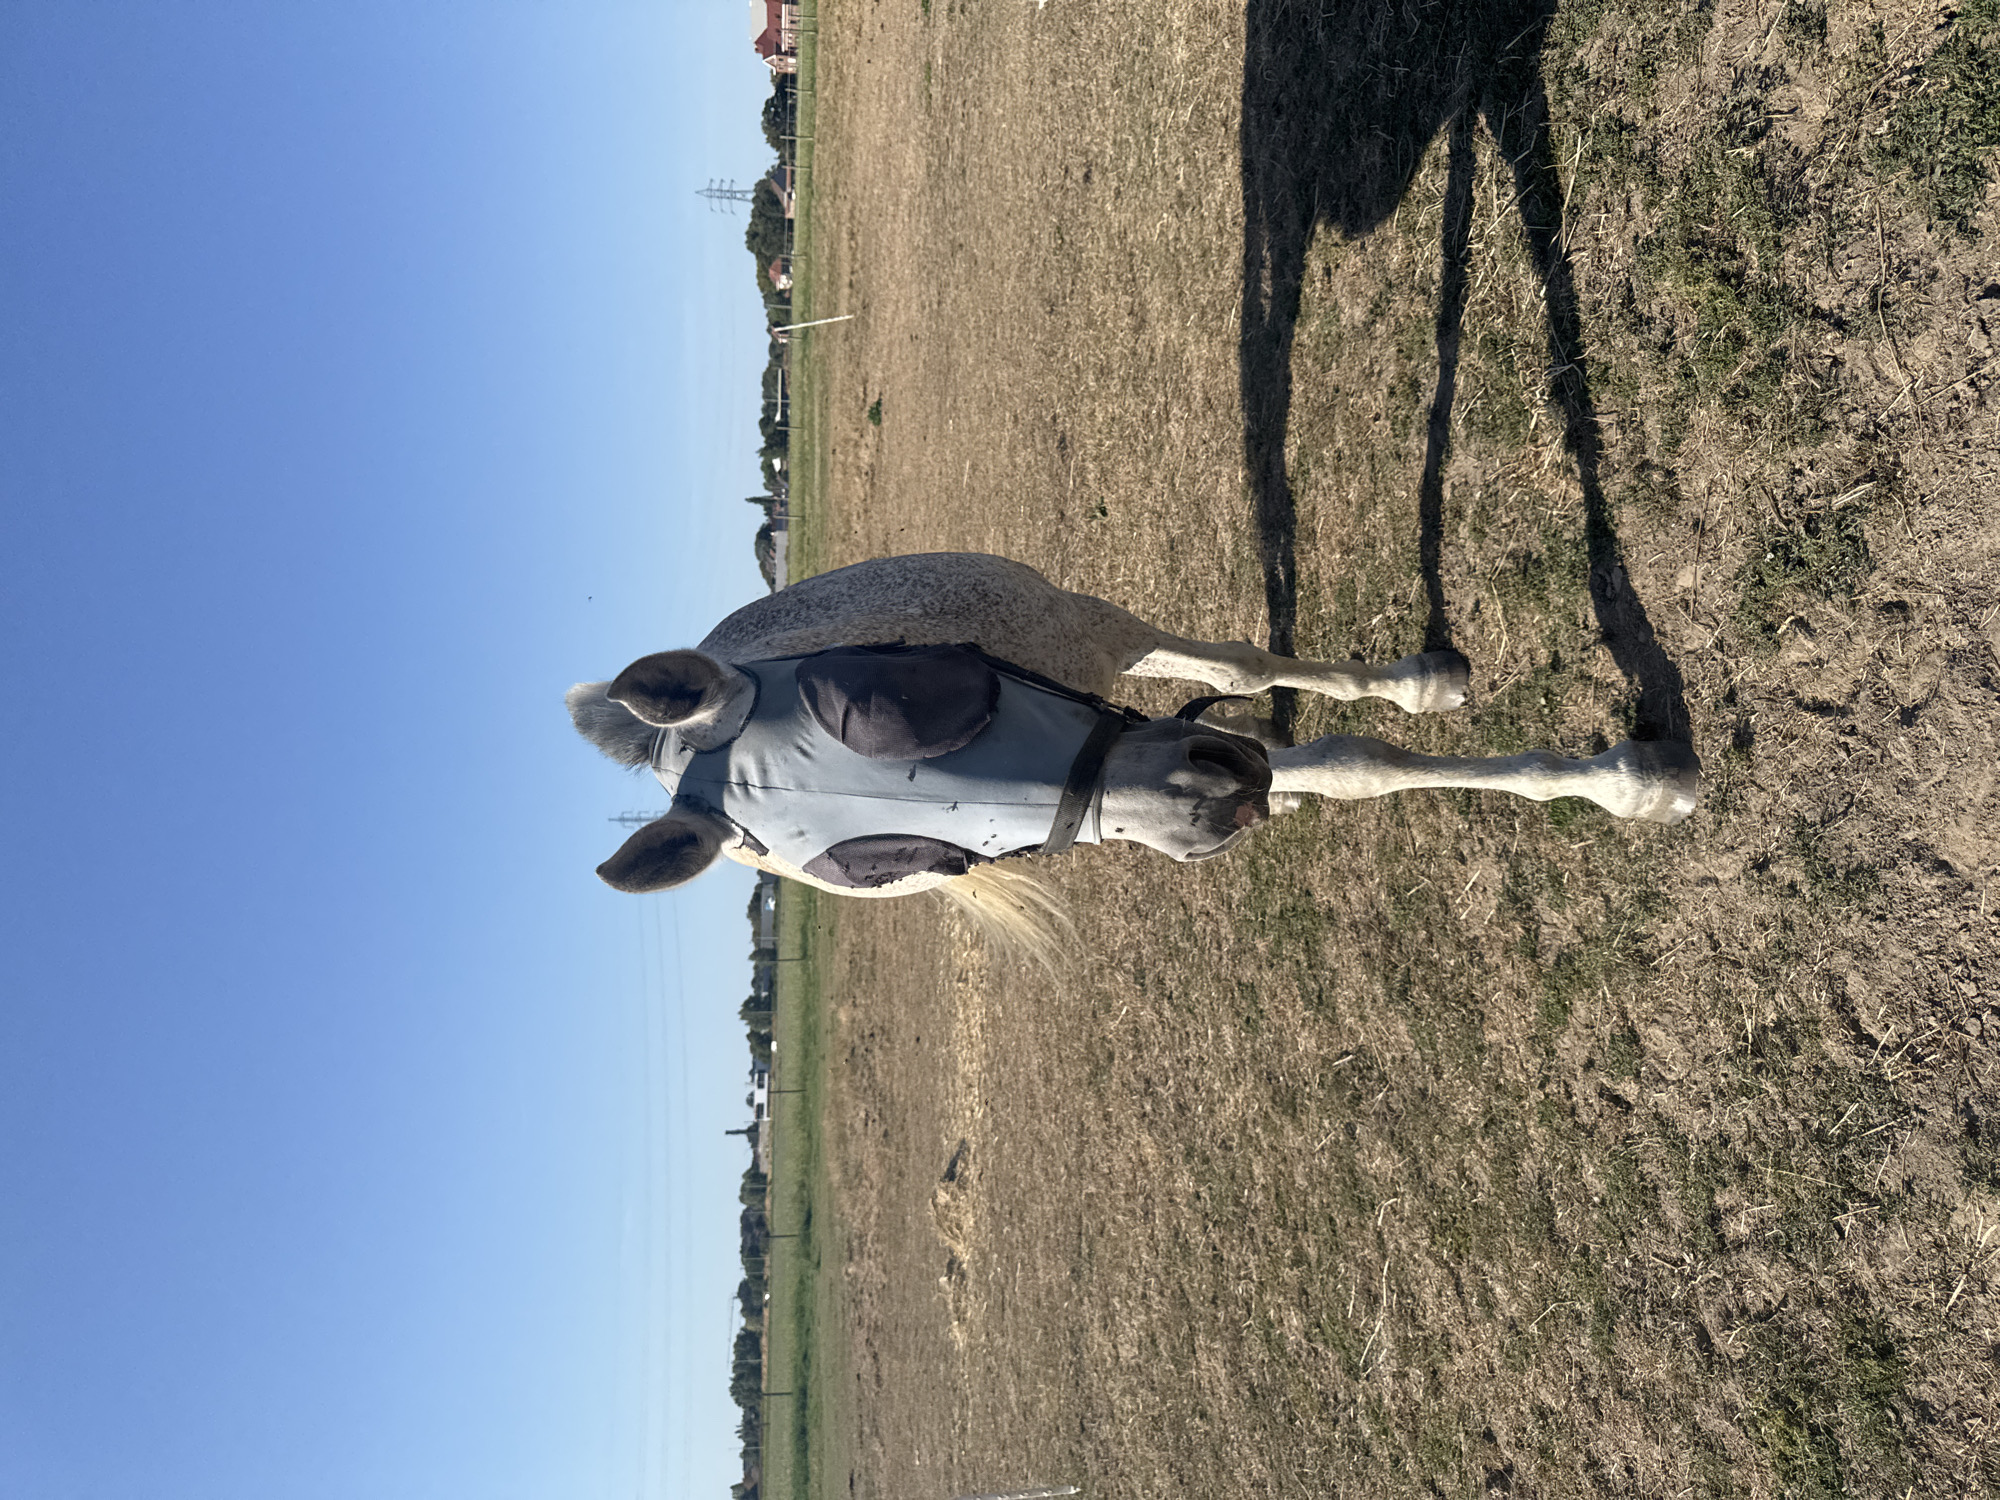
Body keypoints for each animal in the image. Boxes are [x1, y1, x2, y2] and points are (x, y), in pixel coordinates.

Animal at [566, 553, 1697, 945]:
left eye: (895, 703)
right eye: (890, 870)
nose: (1213, 804)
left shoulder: (1112, 657)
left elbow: (1309, 721)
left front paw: (1636, 782)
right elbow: (1340, 768)